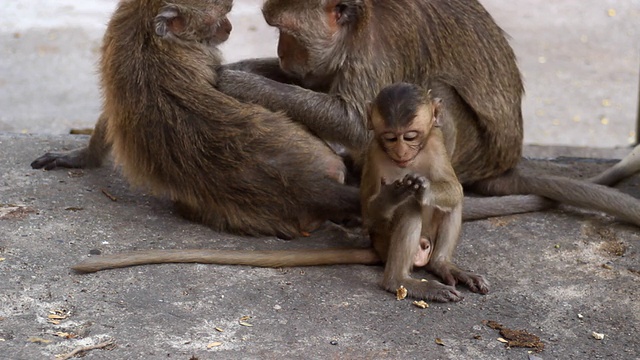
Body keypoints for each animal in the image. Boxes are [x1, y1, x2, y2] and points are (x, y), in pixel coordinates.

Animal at [362, 83, 488, 302]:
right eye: (390, 138)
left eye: (410, 136)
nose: (401, 151)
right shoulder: (373, 153)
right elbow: (368, 214)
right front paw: (391, 194)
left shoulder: (436, 141)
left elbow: (454, 187)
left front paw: (425, 189)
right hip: (383, 242)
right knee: (409, 207)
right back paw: (399, 281)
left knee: (453, 201)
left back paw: (442, 264)